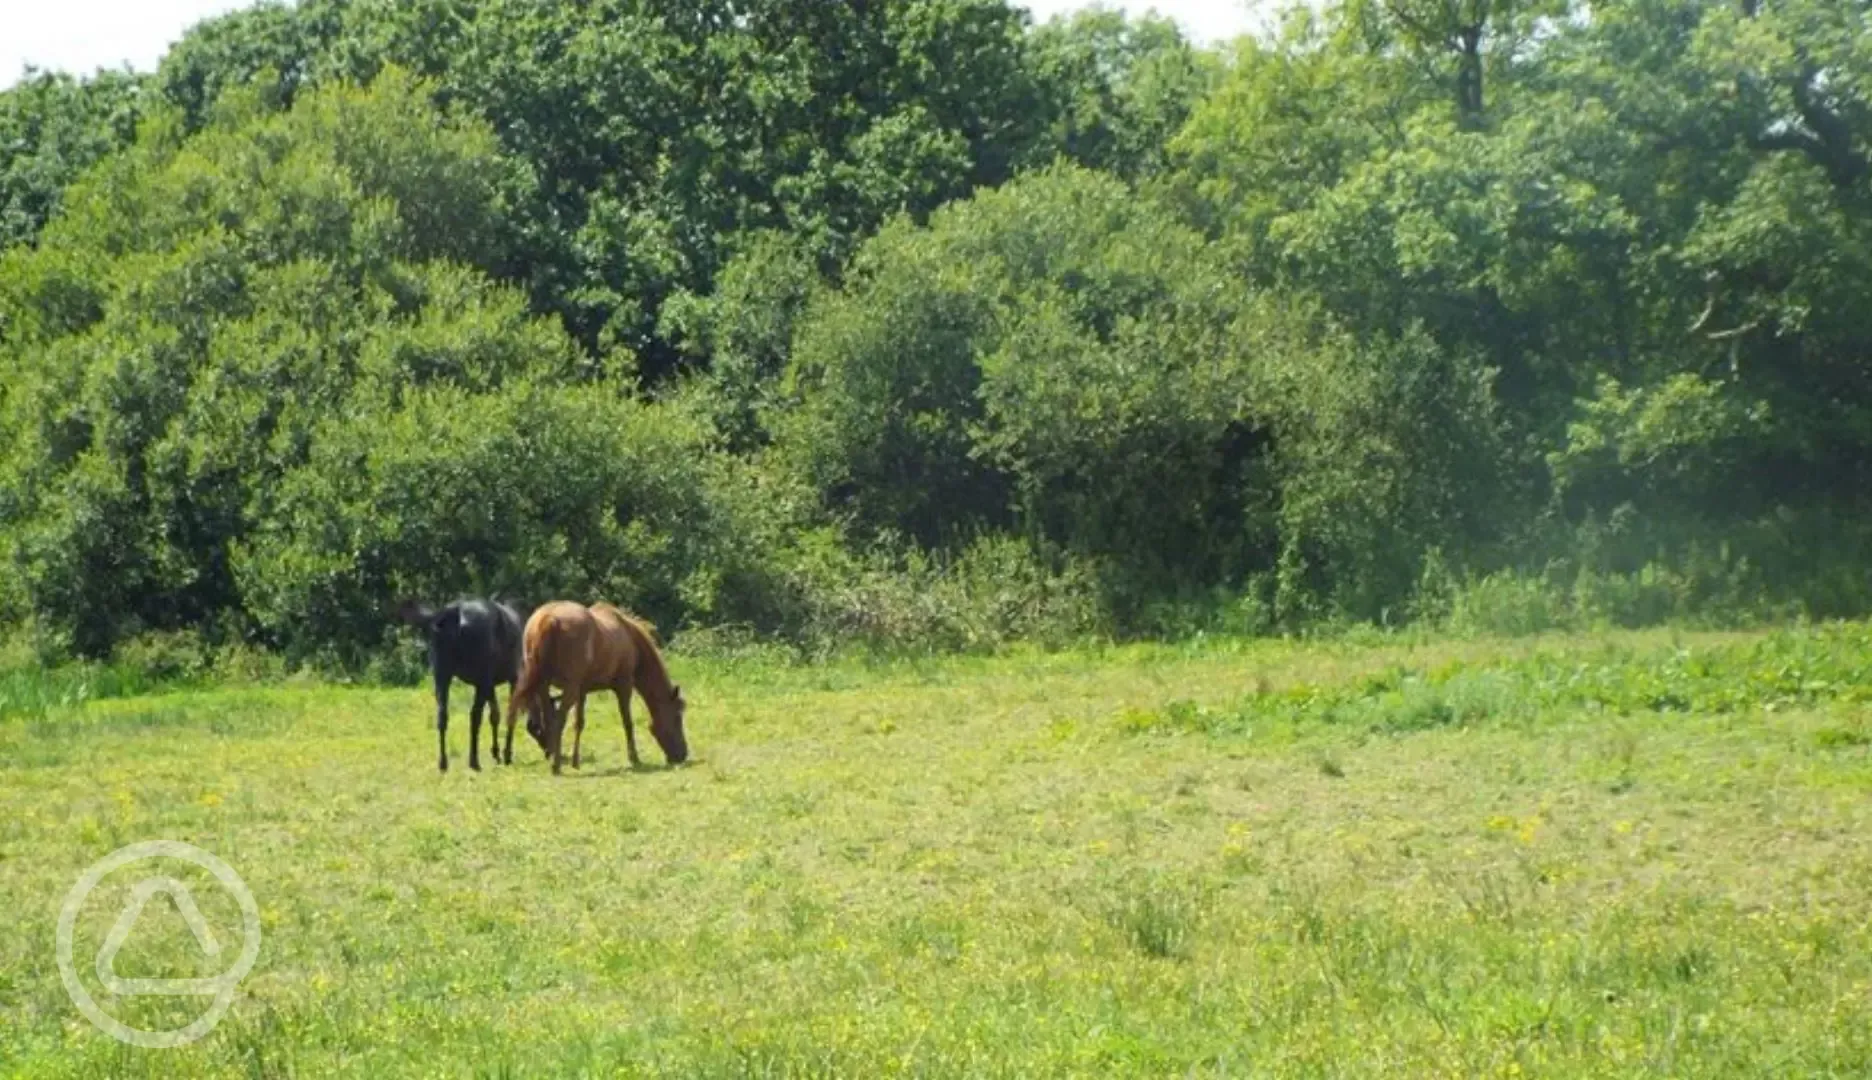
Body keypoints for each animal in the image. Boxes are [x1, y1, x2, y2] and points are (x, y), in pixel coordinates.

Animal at [396, 598, 539, 767]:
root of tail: (455, 612)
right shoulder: (513, 679)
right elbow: (509, 714)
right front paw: (506, 754)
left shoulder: (489, 684)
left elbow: (495, 715)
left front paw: (496, 753)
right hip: (479, 679)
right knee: (475, 716)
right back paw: (474, 760)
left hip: (442, 674)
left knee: (442, 715)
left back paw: (443, 762)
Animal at [501, 598, 692, 774]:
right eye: (677, 717)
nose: (682, 755)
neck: (629, 636)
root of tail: (548, 620)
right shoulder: (624, 686)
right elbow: (627, 722)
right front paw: (634, 758)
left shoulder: (582, 690)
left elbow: (579, 723)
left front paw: (575, 761)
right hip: (568, 689)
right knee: (559, 720)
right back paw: (556, 765)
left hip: (544, 687)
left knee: (549, 719)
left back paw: (554, 757)